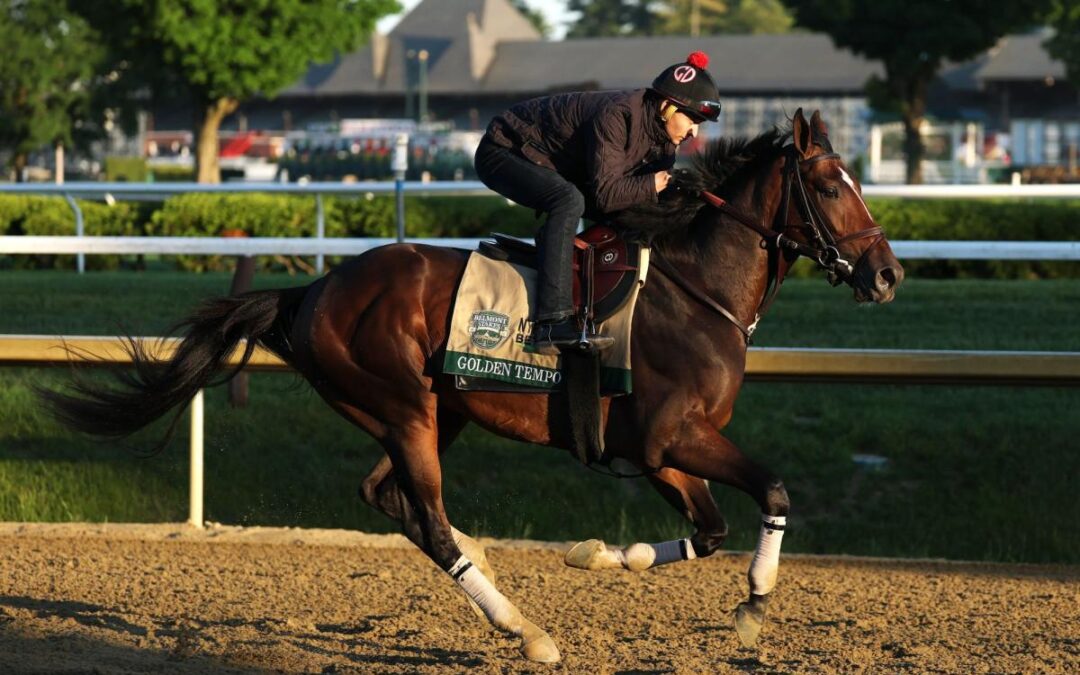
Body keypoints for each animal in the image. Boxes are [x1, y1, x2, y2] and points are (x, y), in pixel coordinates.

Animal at [43, 109, 902, 662]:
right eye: (832, 186)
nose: (888, 274)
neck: (696, 290)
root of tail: (313, 289)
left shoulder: (655, 451)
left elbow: (711, 527)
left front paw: (598, 554)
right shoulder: (673, 434)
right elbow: (774, 488)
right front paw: (756, 600)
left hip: (429, 411)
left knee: (387, 496)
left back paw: (492, 570)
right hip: (403, 406)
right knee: (426, 519)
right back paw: (523, 628)